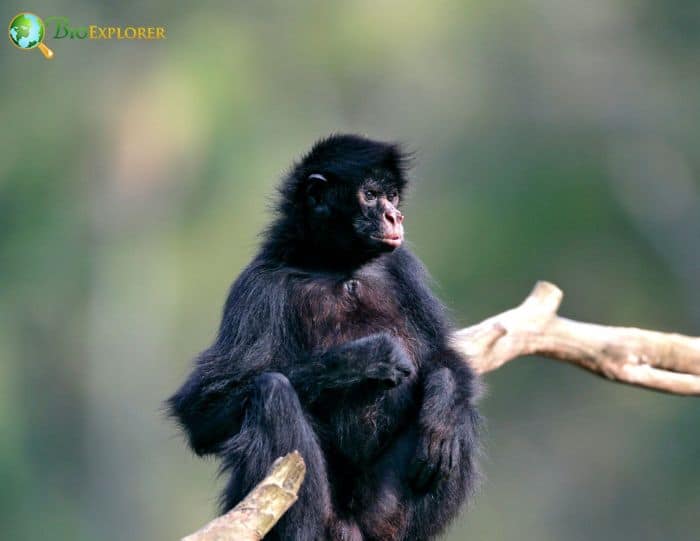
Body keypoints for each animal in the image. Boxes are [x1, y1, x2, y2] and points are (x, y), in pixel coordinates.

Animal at [168, 134, 480, 540]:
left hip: (381, 506)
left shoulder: (402, 267)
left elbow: (445, 360)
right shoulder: (257, 286)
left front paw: (440, 407)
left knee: (463, 414)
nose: (394, 217)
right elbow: (200, 411)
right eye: (371, 195)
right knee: (272, 390)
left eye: (392, 196)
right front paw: (366, 359)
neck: (338, 269)